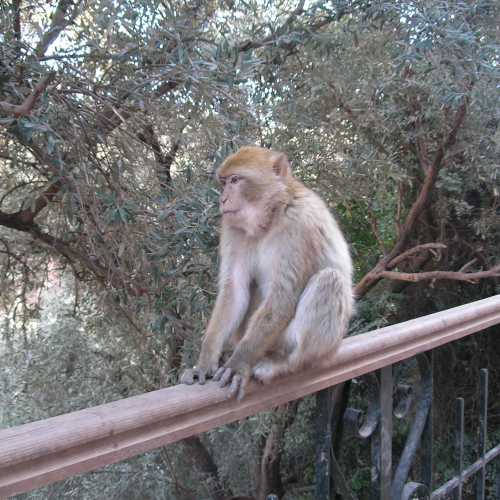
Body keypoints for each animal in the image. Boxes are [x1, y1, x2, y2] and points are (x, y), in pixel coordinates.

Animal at [179, 146, 352, 400]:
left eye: (235, 180)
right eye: (224, 182)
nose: (223, 199)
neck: (271, 216)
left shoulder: (301, 225)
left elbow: (283, 296)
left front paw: (238, 364)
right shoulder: (232, 227)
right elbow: (234, 289)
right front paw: (204, 363)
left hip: (317, 344)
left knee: (330, 280)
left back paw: (284, 363)